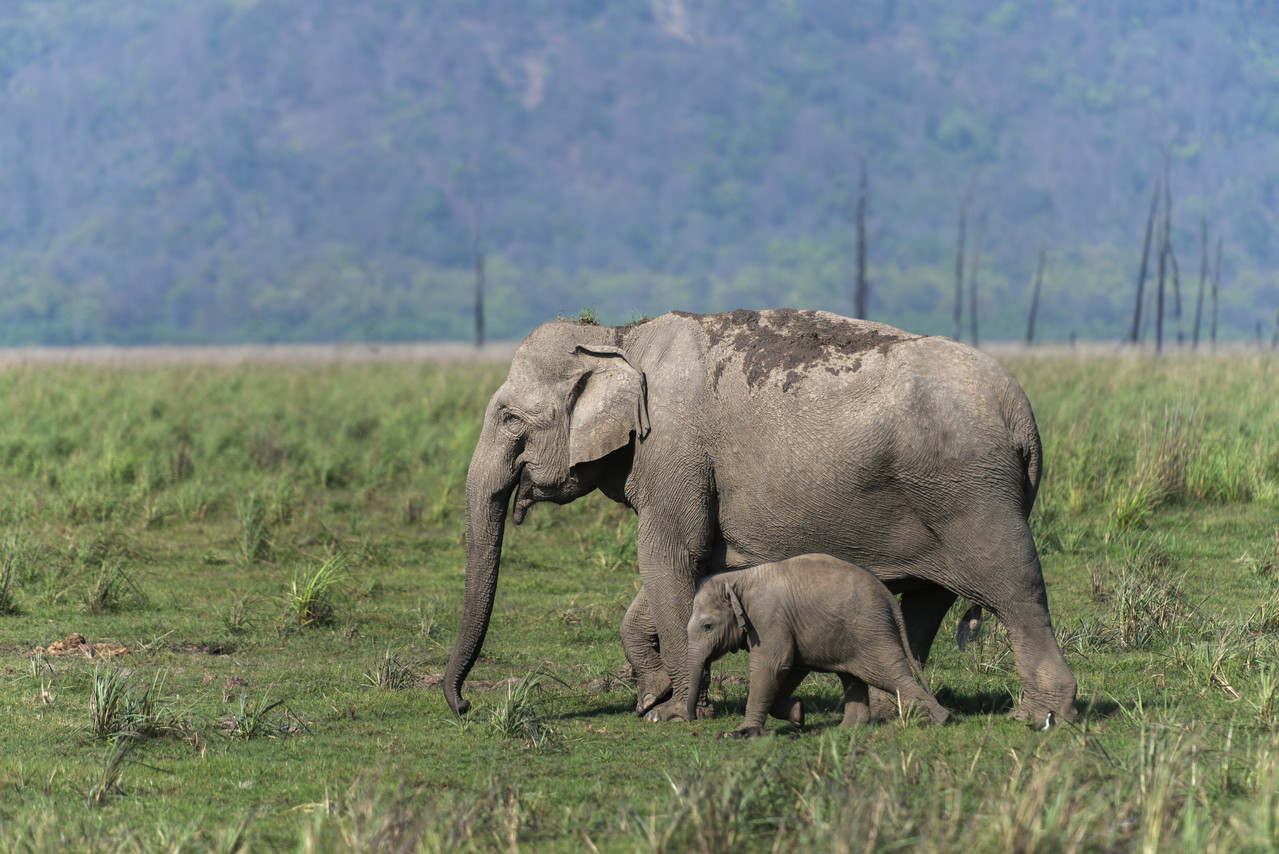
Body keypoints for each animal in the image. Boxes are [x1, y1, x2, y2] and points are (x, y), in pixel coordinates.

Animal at [690, 554, 951, 736]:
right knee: (852, 675)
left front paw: (745, 732)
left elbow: (773, 665)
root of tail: (889, 598)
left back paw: (940, 721)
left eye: (707, 626)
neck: (738, 579)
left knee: (885, 673)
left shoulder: (767, 617)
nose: (693, 719)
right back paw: (846, 729)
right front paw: (799, 714)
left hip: (870, 630)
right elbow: (791, 667)